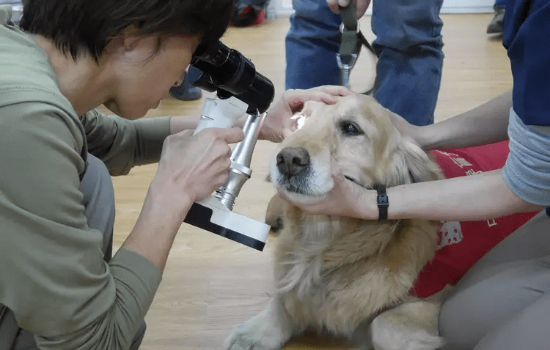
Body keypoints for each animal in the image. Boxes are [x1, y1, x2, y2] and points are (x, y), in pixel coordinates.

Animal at [224, 94, 448, 348]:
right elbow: (284, 297)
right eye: (299, 121)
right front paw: (253, 333)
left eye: (351, 128)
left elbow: (384, 324)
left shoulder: (435, 294)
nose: (288, 159)